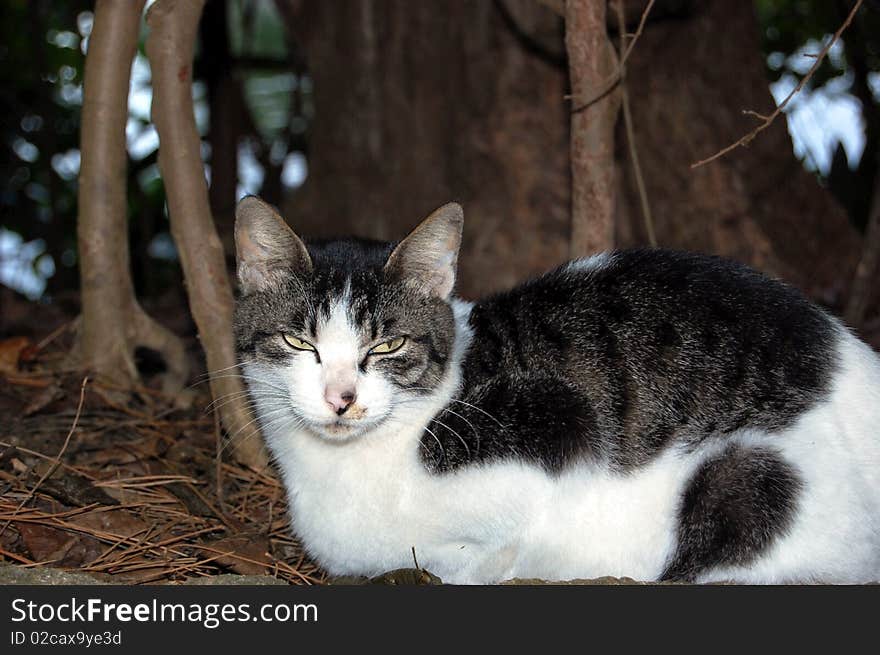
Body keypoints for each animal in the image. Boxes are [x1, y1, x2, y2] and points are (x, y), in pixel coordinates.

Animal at [232, 196, 880, 584]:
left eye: (387, 346)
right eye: (298, 341)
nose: (341, 398)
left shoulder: (556, 424)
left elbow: (484, 554)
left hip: (750, 479)